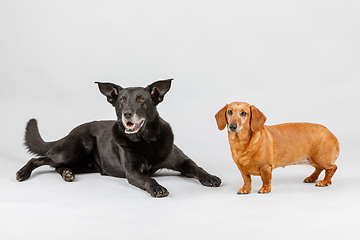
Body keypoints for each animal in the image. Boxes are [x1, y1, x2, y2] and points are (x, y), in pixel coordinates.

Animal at [17, 79, 222, 197]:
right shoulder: (132, 172)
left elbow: (197, 168)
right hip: (74, 149)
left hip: (84, 163)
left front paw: (210, 177)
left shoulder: (182, 161)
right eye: (121, 100)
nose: (127, 114)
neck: (146, 140)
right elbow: (148, 179)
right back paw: (23, 173)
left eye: (141, 99)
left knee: (56, 166)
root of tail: (68, 133)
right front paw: (157, 187)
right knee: (40, 159)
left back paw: (67, 173)